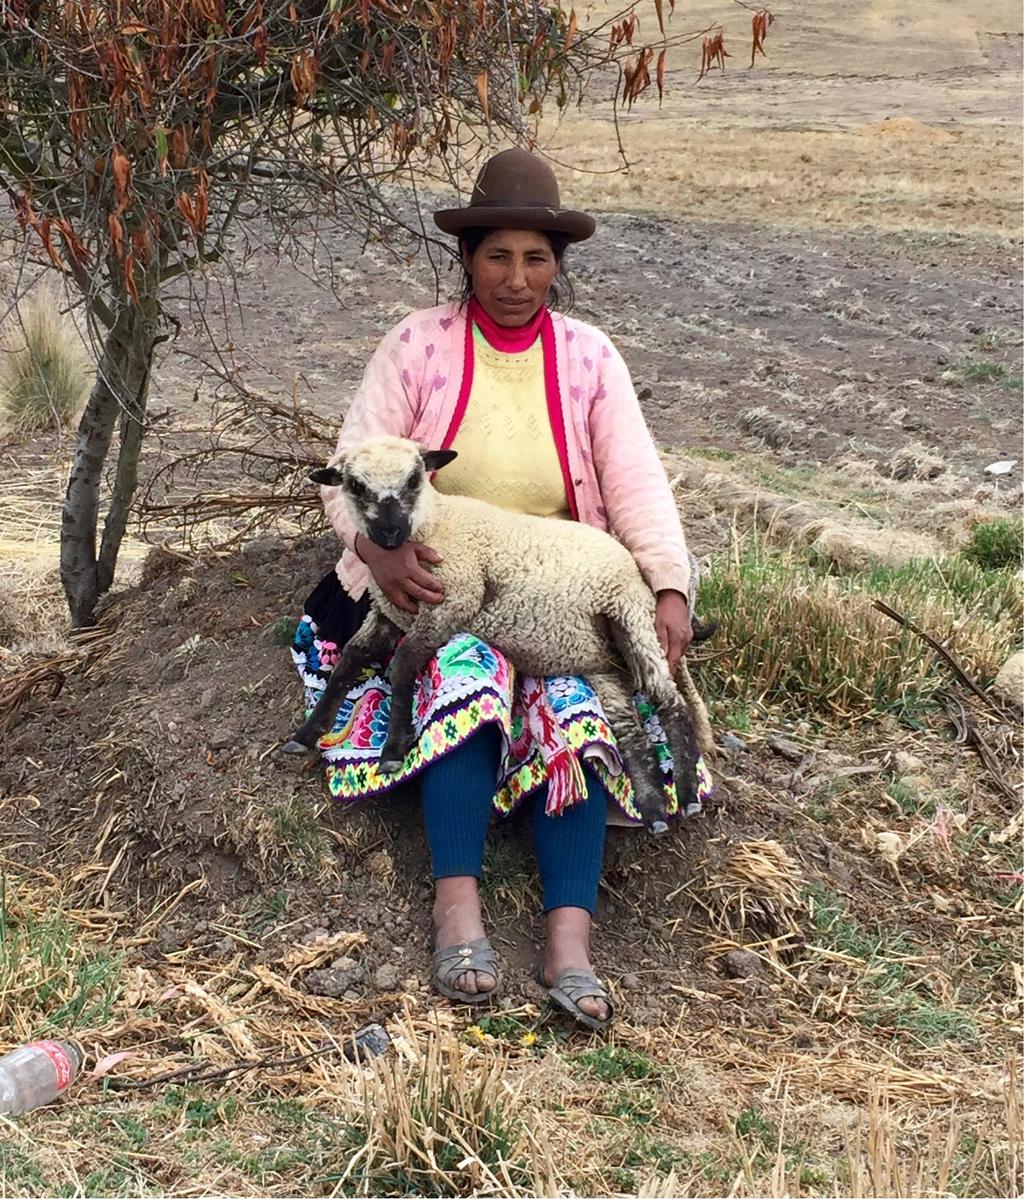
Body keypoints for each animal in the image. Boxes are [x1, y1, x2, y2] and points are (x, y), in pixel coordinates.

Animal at [284, 434, 709, 834]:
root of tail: (637, 572)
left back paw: (686, 794)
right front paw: (307, 732)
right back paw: (653, 808)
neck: (434, 524)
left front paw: (392, 748)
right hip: (603, 663)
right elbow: (348, 661)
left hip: (631, 616)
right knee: (632, 731)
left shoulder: (456, 599)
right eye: (355, 485)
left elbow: (402, 664)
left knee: (671, 702)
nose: (390, 532)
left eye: (414, 478)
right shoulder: (388, 613)